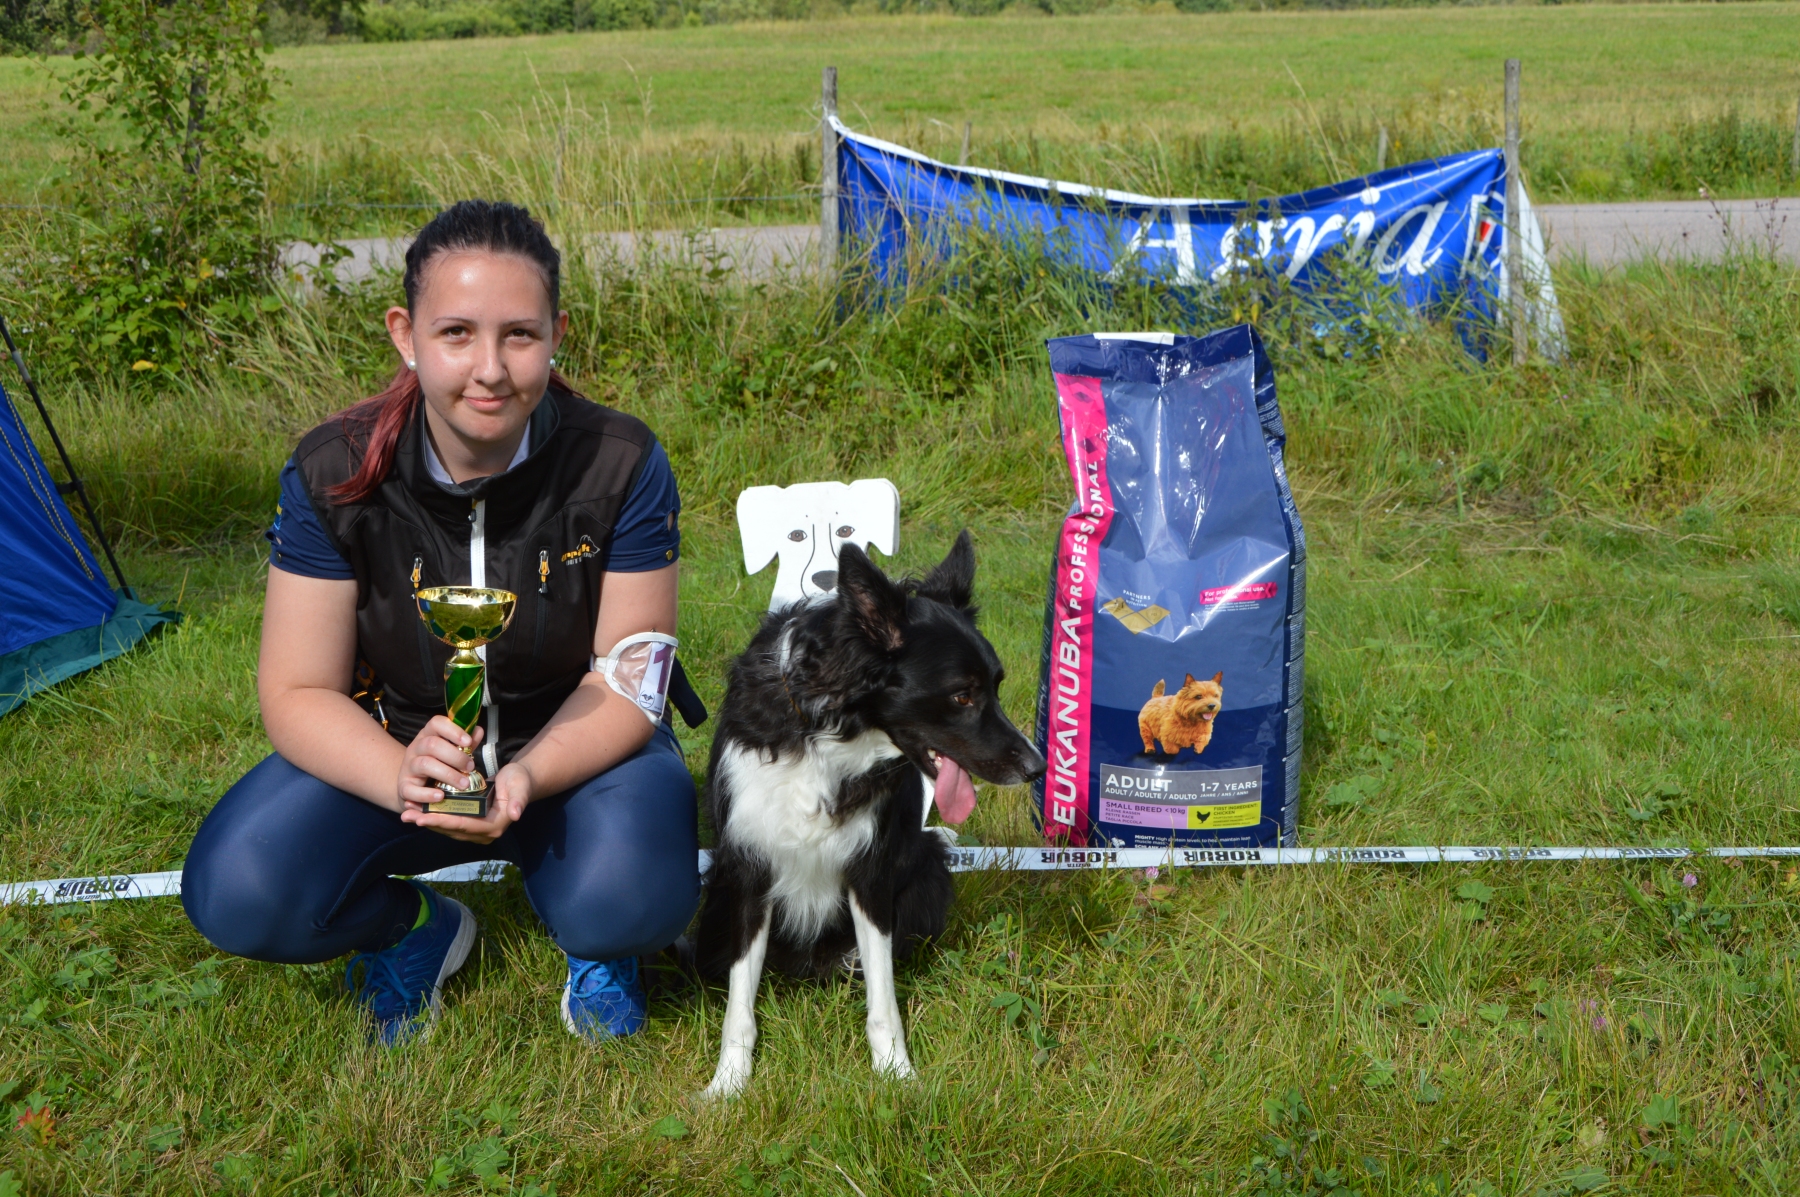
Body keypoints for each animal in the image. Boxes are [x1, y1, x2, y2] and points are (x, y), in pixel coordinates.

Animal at [695, 531, 1046, 1099]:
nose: (1037, 768)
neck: (825, 733)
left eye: (996, 685)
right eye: (962, 695)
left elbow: (883, 999)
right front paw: (727, 1085)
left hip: (928, 871)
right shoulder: (749, 867)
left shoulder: (872, 871)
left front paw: (897, 1076)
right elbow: (739, 1004)